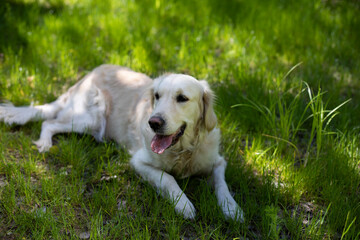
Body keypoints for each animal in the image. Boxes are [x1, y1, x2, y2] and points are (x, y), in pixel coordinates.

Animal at [0, 64, 245, 222]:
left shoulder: (217, 161)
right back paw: (44, 143)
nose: (153, 122)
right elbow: (168, 179)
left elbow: (222, 184)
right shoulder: (139, 162)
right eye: (157, 96)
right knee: (49, 122)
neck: (183, 150)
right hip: (90, 117)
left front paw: (232, 209)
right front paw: (183, 205)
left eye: (182, 98)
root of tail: (85, 77)